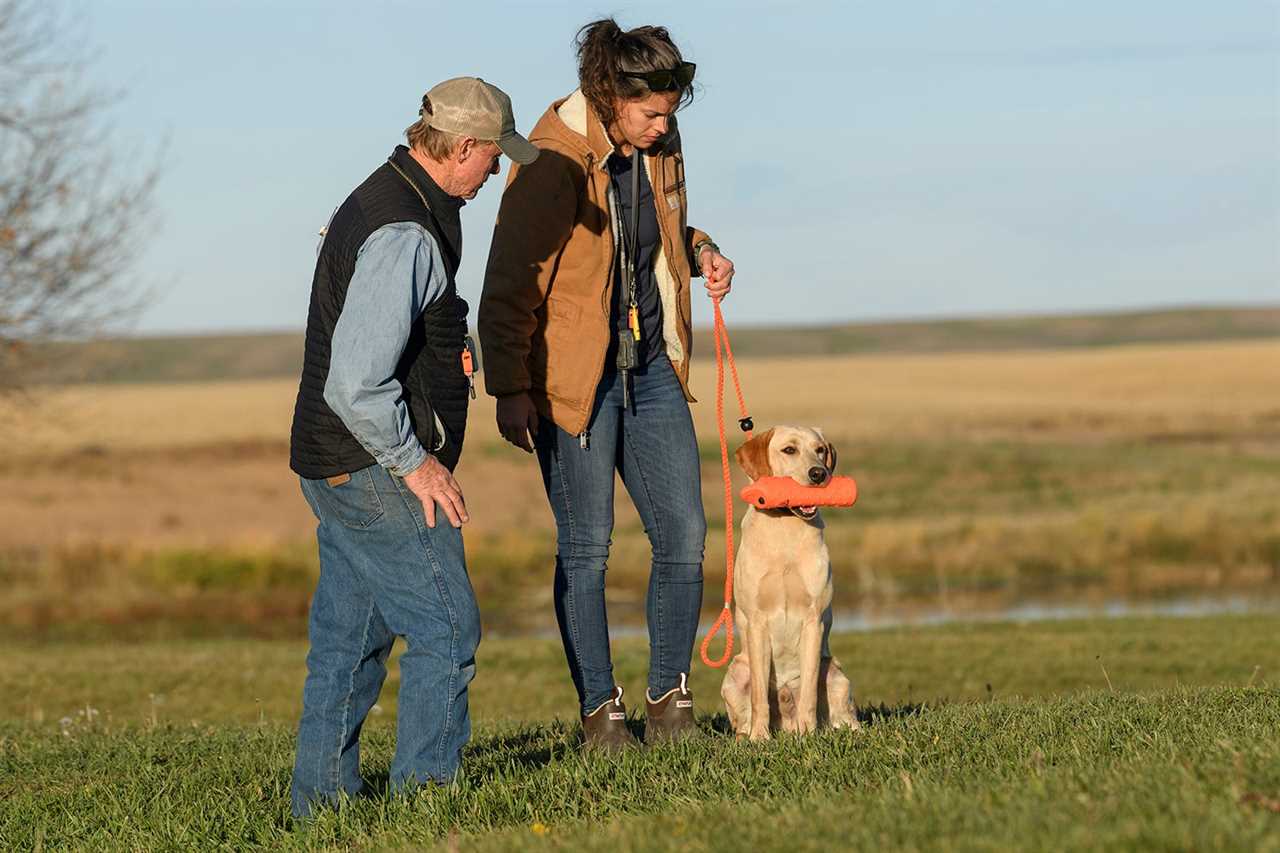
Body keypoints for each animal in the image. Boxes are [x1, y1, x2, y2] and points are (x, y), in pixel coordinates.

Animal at [721, 425, 860, 737]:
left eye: (820, 450)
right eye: (789, 450)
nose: (819, 473)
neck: (785, 528)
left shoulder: (813, 619)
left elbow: (808, 692)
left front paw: (808, 735)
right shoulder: (757, 621)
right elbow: (759, 696)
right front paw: (759, 738)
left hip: (835, 675)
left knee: (843, 715)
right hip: (735, 674)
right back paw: (746, 737)